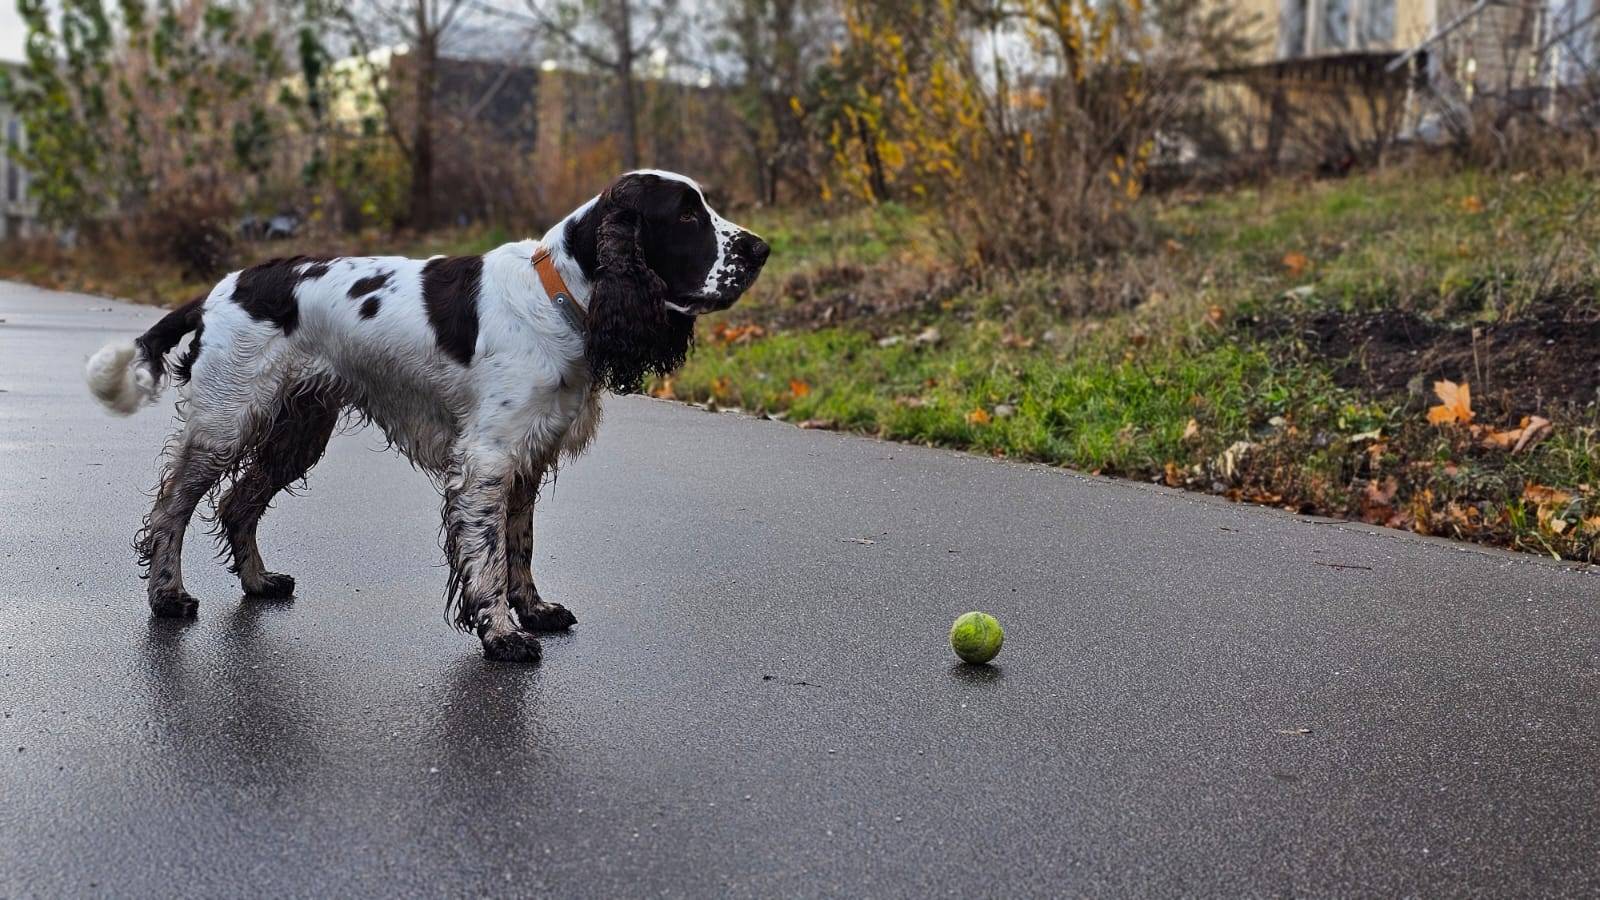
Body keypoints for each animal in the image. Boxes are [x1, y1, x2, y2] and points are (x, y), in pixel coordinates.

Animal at [87, 169, 774, 659]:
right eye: (685, 215)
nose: (763, 248)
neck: (558, 298)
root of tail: (218, 290)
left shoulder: (526, 458)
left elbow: (520, 547)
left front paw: (535, 611)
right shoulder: (486, 461)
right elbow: (488, 557)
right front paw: (501, 635)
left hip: (298, 428)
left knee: (236, 503)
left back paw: (258, 582)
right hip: (226, 421)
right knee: (170, 507)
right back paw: (168, 596)